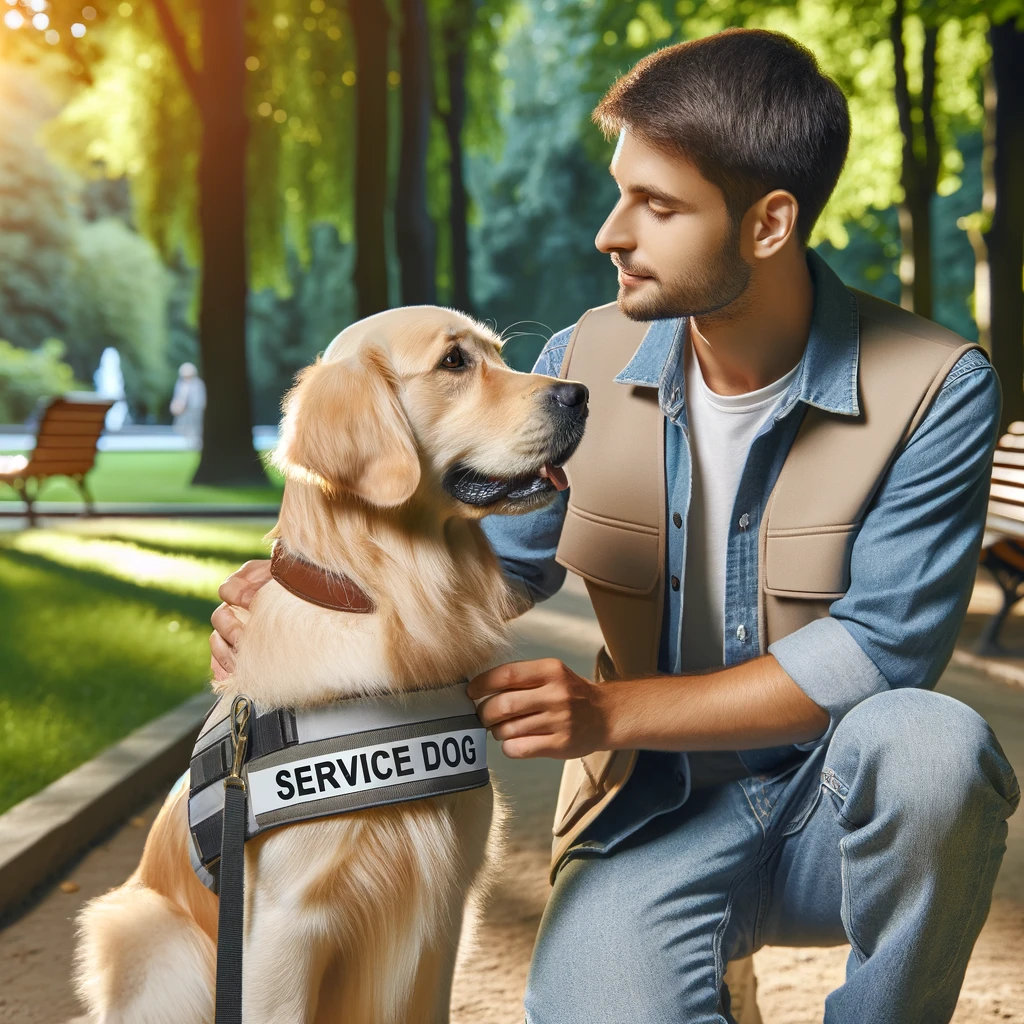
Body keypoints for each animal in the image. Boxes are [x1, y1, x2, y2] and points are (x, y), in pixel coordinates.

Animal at [72, 305, 589, 1024]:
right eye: (454, 362)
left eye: (498, 355)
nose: (580, 394)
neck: (390, 600)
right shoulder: (284, 929)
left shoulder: (446, 911)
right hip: (148, 933)